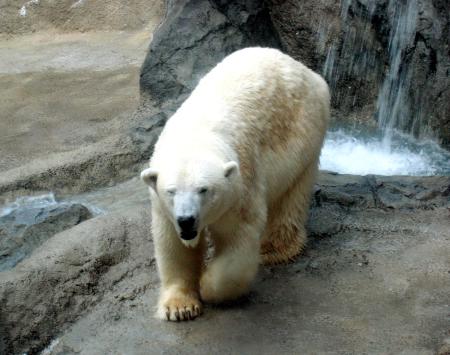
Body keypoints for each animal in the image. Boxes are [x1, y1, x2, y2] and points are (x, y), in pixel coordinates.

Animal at [142, 47, 330, 322]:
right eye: (171, 191)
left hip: (306, 131)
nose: (186, 220)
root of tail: (307, 71)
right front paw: (180, 307)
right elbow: (173, 247)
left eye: (204, 190)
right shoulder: (164, 209)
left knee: (291, 195)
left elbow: (238, 244)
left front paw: (207, 285)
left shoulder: (242, 188)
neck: (195, 136)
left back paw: (274, 249)